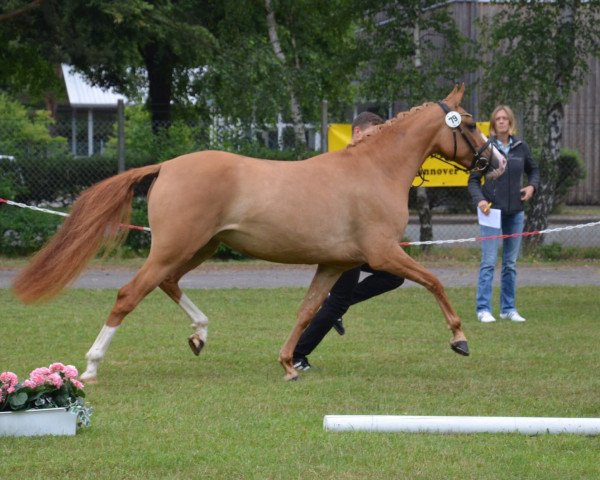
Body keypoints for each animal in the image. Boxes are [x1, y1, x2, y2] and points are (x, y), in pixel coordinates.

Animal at [11, 84, 504, 380]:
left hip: (199, 247)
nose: (496, 163)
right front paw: (459, 339)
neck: (372, 169)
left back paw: (200, 334)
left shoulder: (334, 263)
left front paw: (289, 363)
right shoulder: (383, 254)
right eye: (470, 123)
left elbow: (309, 310)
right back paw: (91, 367)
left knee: (168, 284)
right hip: (175, 247)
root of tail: (166, 166)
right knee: (130, 294)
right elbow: (434, 282)